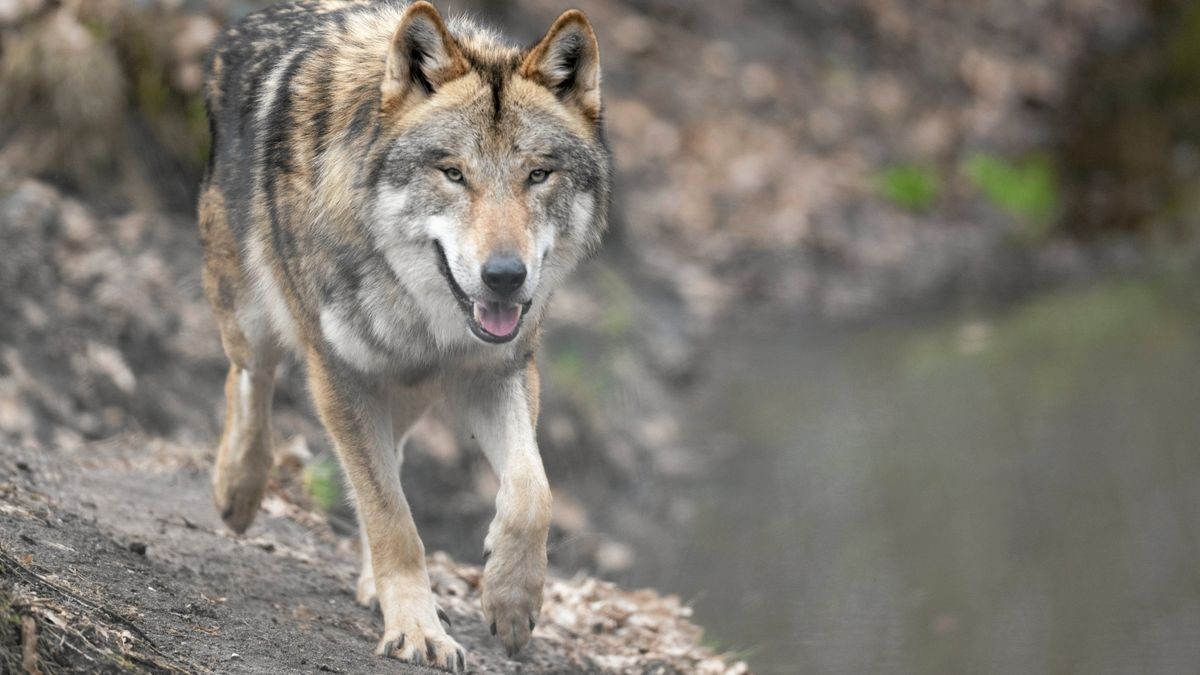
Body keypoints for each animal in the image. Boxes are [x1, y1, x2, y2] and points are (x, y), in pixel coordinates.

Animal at [199, 2, 609, 667]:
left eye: (538, 175)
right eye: (453, 174)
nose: (504, 276)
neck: (424, 312)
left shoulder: (498, 373)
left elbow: (532, 492)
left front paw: (510, 600)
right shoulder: (339, 377)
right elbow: (392, 519)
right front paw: (419, 630)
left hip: (409, 390)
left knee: (389, 453)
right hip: (251, 314)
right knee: (249, 380)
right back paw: (238, 487)